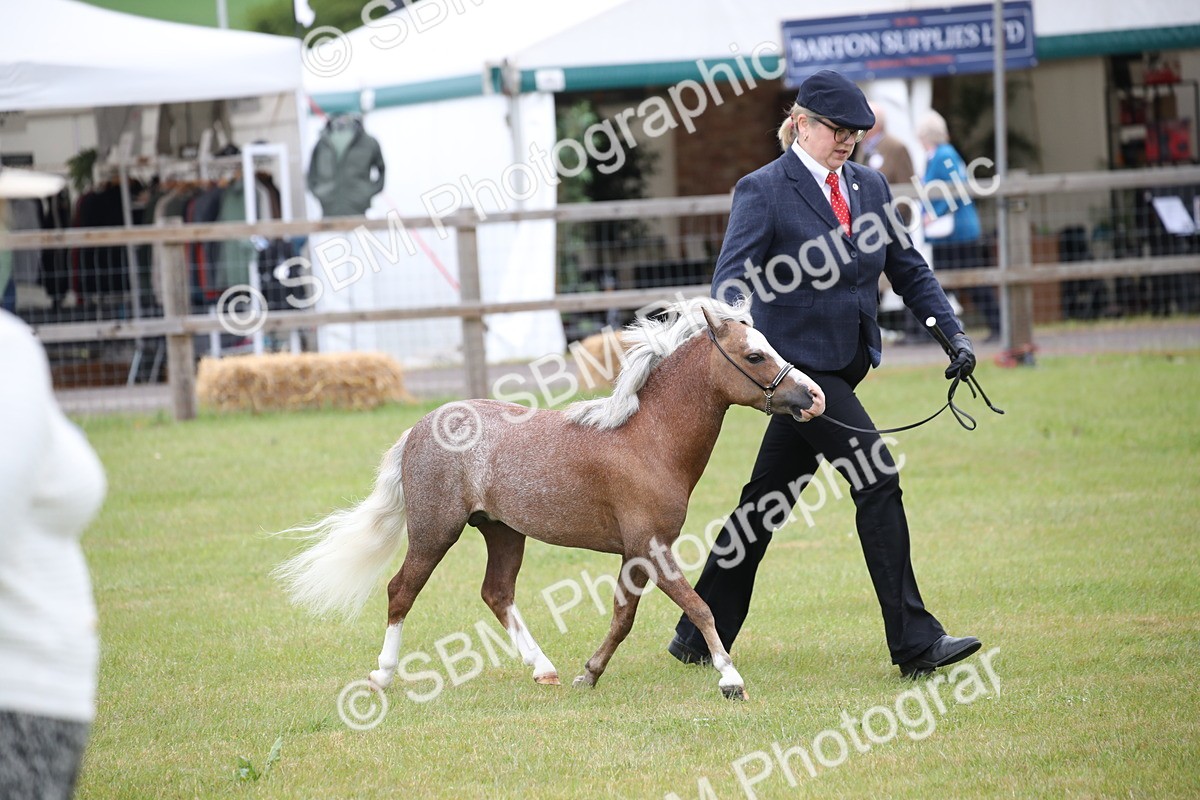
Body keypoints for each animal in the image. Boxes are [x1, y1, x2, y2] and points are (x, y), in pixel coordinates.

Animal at [273, 298, 826, 700]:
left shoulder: (635, 555)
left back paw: (544, 669)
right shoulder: (652, 548)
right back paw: (383, 676)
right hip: (434, 532)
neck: (648, 438)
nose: (815, 398)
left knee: (496, 593)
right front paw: (730, 679)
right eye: (754, 355)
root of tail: (420, 428)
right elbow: (700, 607)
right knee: (400, 591)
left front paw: (589, 674)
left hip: (502, 532)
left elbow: (623, 618)